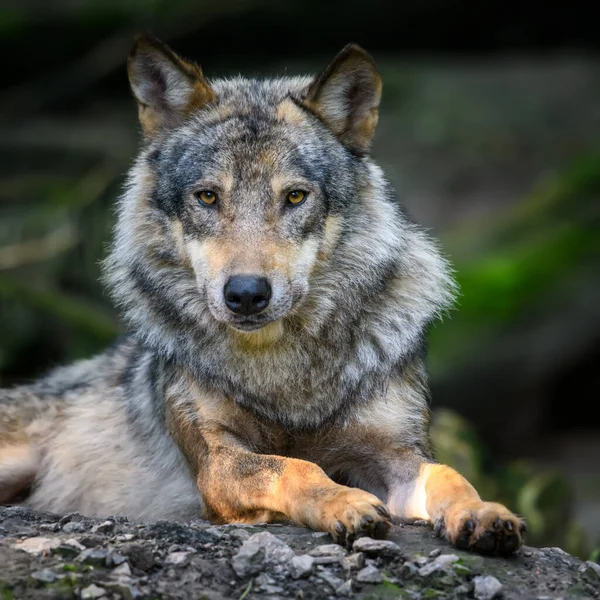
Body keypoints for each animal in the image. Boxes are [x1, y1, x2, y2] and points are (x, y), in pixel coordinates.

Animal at [0, 35, 524, 556]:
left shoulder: (394, 451)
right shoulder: (218, 461)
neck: (281, 372)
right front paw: (343, 502)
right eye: (207, 197)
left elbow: (447, 473)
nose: (247, 293)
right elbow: (292, 466)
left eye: (294, 197)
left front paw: (482, 512)